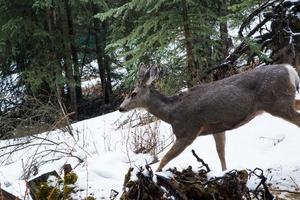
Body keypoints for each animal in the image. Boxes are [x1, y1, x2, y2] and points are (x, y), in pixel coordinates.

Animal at [119, 63, 300, 171]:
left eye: (133, 93)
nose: (121, 108)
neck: (171, 113)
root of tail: (290, 70)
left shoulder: (187, 132)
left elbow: (165, 158)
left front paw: (156, 175)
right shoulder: (217, 127)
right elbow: (221, 152)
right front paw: (225, 172)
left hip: (277, 102)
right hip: (286, 100)